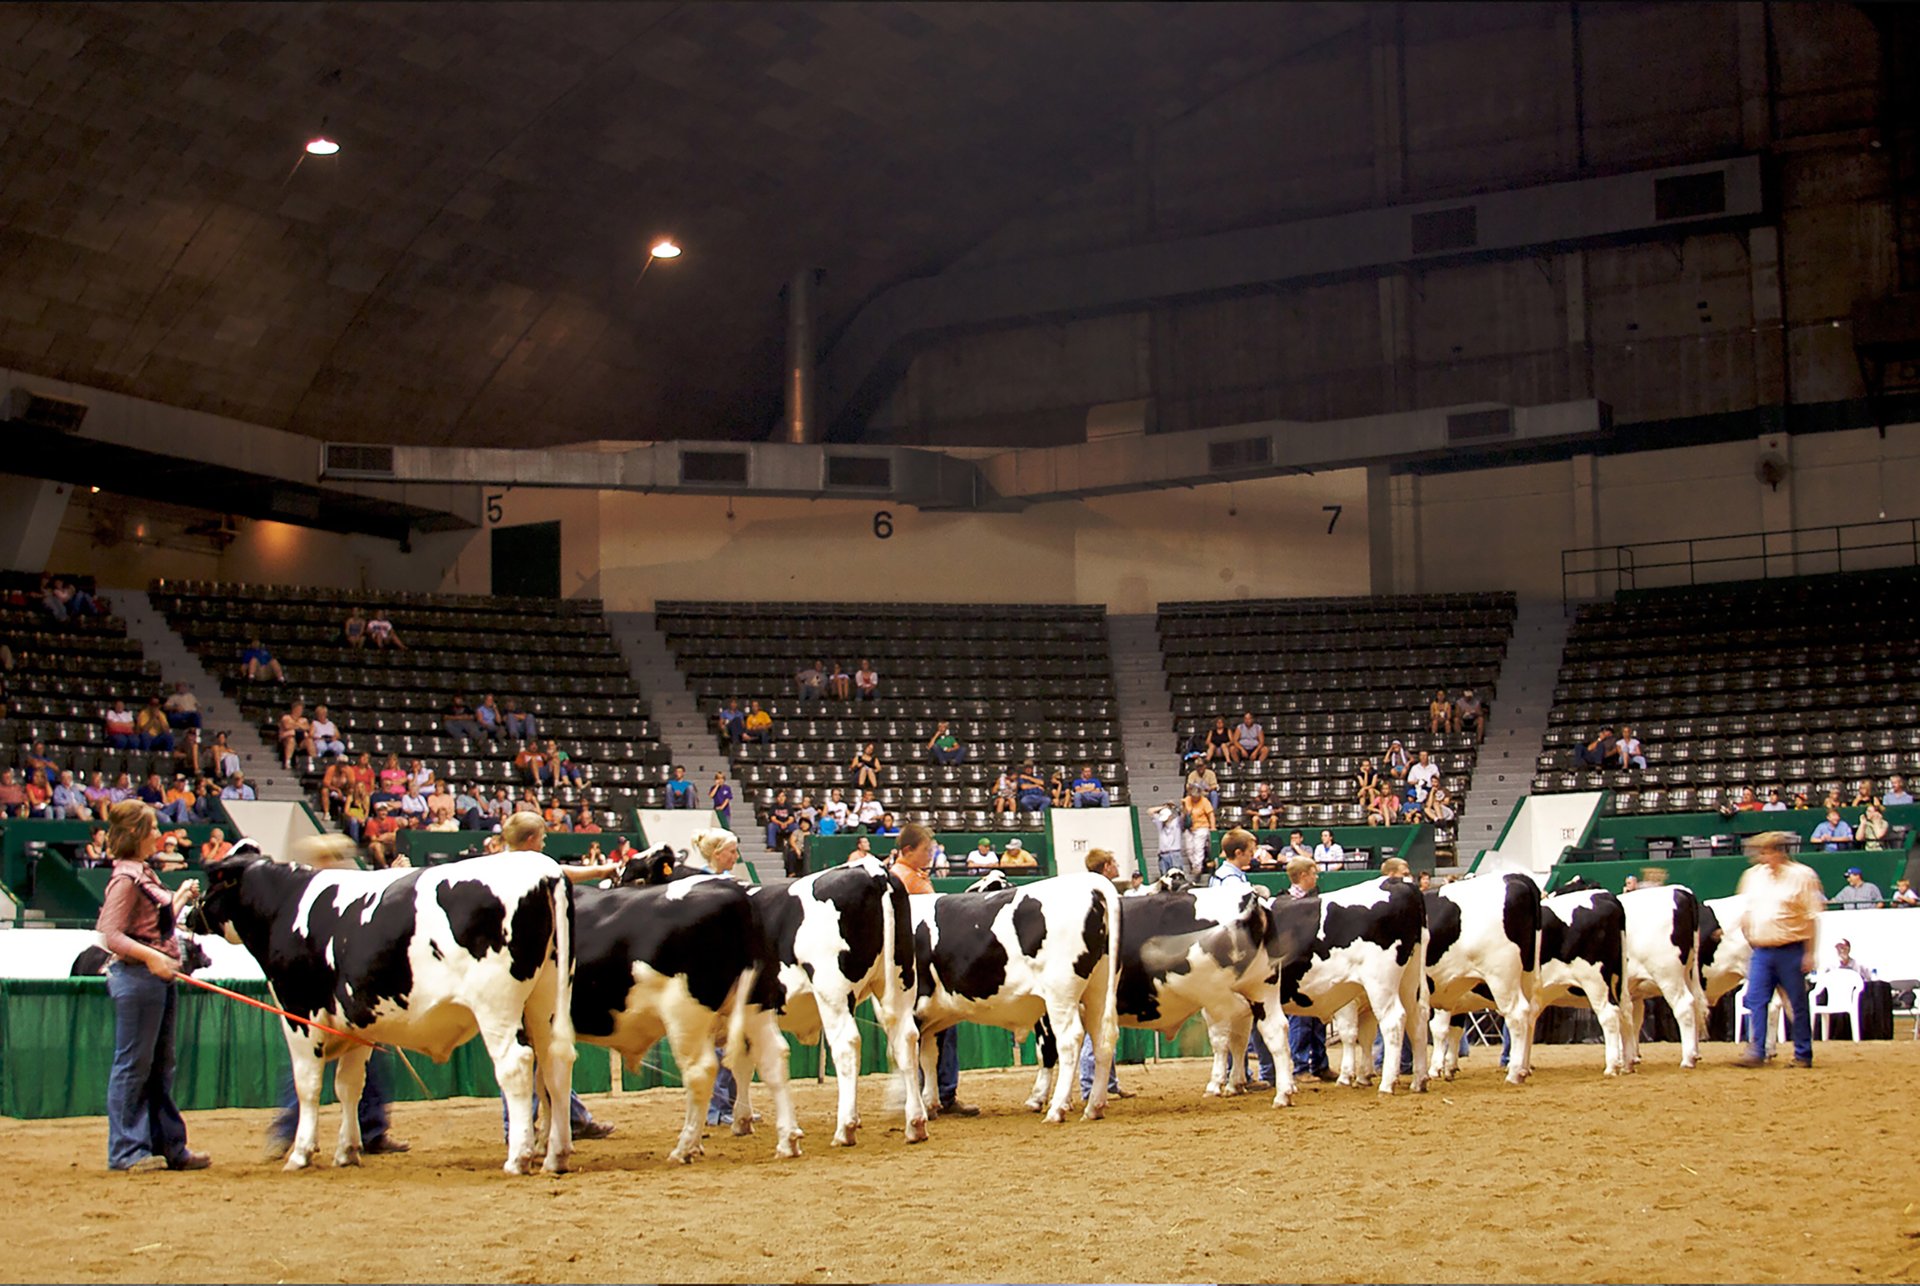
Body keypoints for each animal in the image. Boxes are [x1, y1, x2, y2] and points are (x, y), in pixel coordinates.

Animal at [200, 844, 583, 1182]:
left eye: (212, 882)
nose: (191, 913)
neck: (284, 906)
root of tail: (545, 870)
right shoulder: (355, 1025)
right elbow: (349, 1085)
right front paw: (347, 1151)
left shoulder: (299, 1014)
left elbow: (307, 1085)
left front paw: (301, 1153)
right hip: (545, 1001)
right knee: (555, 1065)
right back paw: (556, 1156)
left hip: (497, 1006)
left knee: (516, 1066)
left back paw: (518, 1158)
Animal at [906, 871, 1121, 1120]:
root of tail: (1090, 882)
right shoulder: (932, 1016)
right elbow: (929, 1057)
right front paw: (929, 1105)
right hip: (1098, 991)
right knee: (1103, 1038)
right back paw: (1094, 1107)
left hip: (1061, 994)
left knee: (1069, 1040)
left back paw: (1057, 1109)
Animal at [1205, 882, 1436, 1113]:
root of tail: (1399, 885)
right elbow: (1238, 1042)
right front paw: (1234, 1084)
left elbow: (1220, 1041)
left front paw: (1216, 1084)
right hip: (1410, 981)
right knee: (1417, 1020)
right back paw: (1419, 1080)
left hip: (1380, 984)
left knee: (1393, 1022)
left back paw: (1387, 1083)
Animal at [1559, 882, 1712, 1074]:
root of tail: (1681, 891)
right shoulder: (1633, 994)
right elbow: (1633, 1021)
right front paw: (1630, 1058)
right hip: (1689, 974)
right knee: (1697, 1005)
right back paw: (1695, 1053)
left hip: (1668, 975)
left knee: (1684, 1005)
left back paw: (1687, 1060)